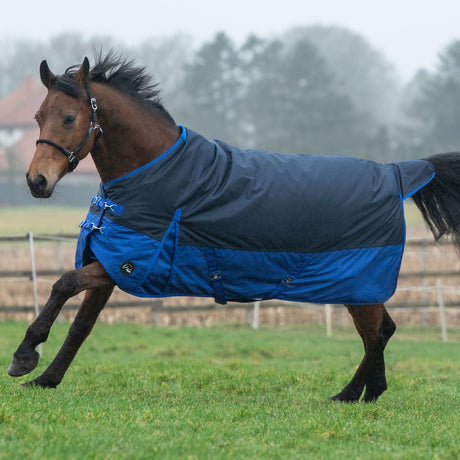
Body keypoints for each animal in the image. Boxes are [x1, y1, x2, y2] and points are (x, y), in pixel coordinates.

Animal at [6, 53, 460, 402]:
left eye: (69, 117)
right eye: (37, 116)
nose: (36, 181)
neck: (155, 174)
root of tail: (394, 174)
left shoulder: (132, 263)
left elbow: (62, 283)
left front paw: (25, 355)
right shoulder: (112, 264)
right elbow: (80, 326)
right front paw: (45, 378)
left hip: (358, 280)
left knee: (377, 332)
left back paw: (354, 394)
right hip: (358, 285)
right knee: (382, 330)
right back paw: (361, 393)